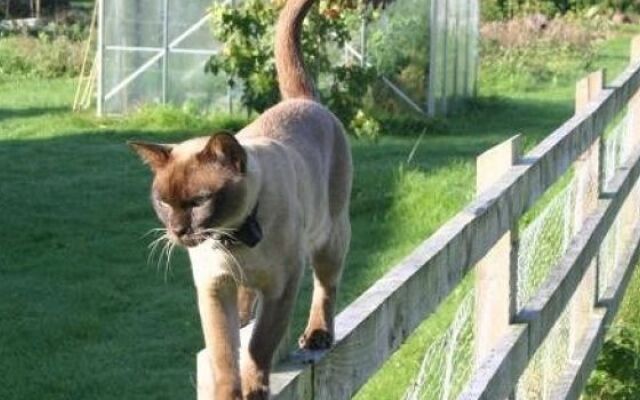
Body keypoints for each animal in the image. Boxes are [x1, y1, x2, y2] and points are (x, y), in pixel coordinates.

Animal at [128, 0, 352, 396]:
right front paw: (229, 394)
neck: (234, 238)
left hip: (329, 240)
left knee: (326, 286)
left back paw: (317, 335)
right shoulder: (215, 288)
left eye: (199, 201)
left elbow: (259, 344)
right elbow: (223, 353)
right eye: (164, 203)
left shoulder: (282, 287)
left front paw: (253, 390)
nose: (177, 231)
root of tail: (302, 101)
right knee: (247, 305)